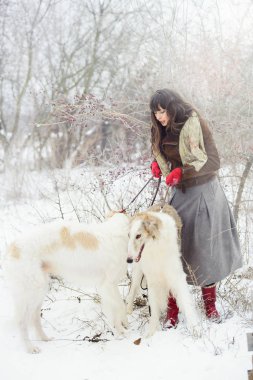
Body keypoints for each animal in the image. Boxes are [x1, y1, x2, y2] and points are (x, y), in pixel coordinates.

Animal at [3, 212, 129, 354]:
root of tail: (11, 248)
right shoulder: (108, 285)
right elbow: (120, 307)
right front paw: (122, 331)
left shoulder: (106, 288)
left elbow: (114, 311)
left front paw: (120, 330)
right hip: (31, 291)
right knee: (22, 322)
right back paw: (30, 348)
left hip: (40, 290)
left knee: (35, 318)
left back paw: (44, 338)